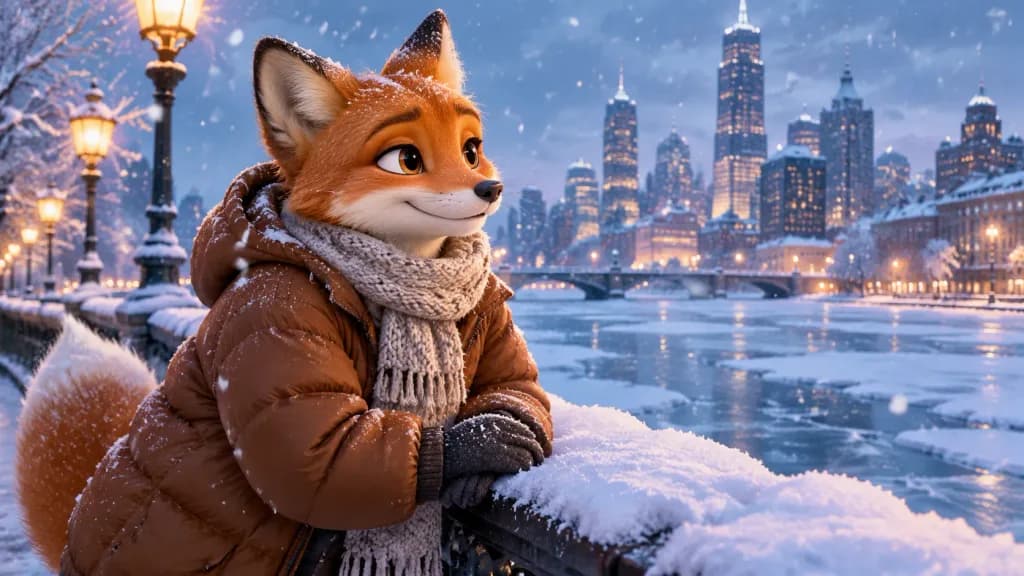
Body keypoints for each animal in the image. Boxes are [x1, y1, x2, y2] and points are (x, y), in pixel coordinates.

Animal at [17, 9, 552, 576]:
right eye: (405, 159)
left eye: (471, 150)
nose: (490, 188)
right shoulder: (274, 309)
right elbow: (314, 454)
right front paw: (473, 448)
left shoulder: (488, 305)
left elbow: (518, 385)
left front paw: (494, 432)